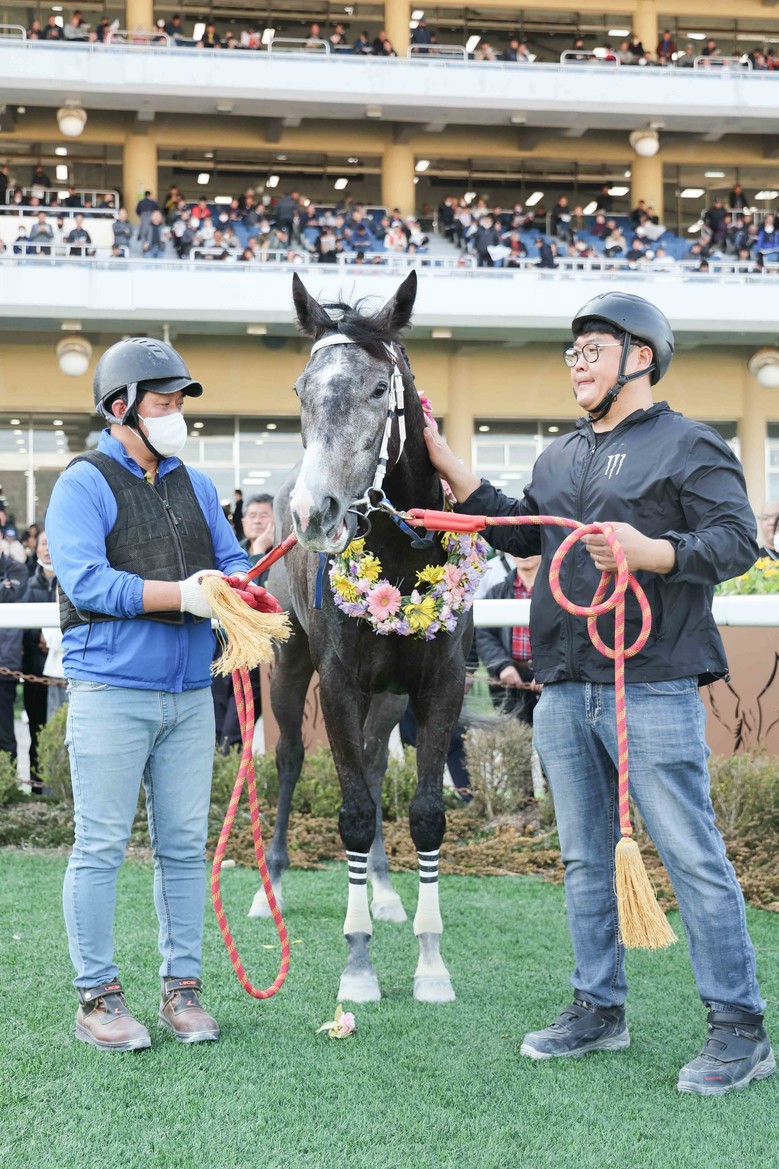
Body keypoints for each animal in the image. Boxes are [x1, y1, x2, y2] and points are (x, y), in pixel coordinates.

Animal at [249, 270, 478, 1003]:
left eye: (381, 389)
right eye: (301, 389)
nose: (314, 513)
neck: (399, 562)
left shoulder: (440, 684)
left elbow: (424, 811)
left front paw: (431, 963)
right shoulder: (340, 683)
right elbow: (349, 809)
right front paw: (358, 965)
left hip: (390, 693)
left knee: (376, 764)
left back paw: (381, 889)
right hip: (291, 666)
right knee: (291, 758)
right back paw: (271, 885)